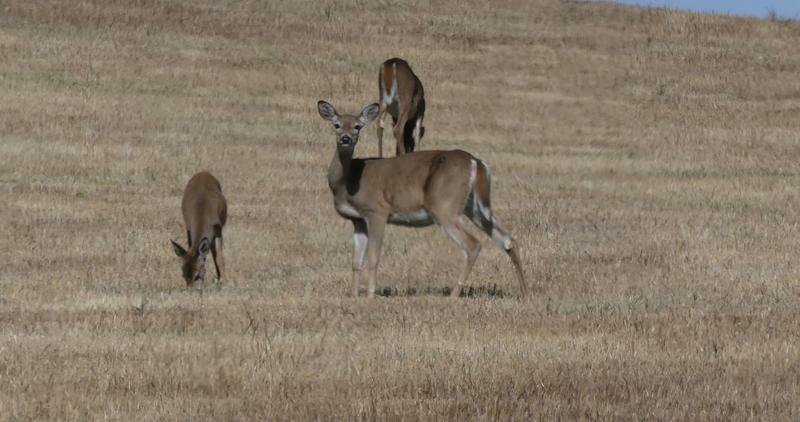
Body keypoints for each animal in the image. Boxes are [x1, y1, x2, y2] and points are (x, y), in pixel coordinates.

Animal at [318, 100, 527, 298]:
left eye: (358, 126)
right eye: (336, 125)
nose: (345, 139)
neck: (348, 181)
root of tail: (476, 162)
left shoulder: (377, 211)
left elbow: (373, 258)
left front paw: (369, 297)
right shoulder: (358, 220)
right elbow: (356, 261)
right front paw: (354, 296)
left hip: (444, 205)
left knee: (473, 244)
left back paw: (453, 296)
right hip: (475, 206)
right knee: (508, 240)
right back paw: (525, 292)